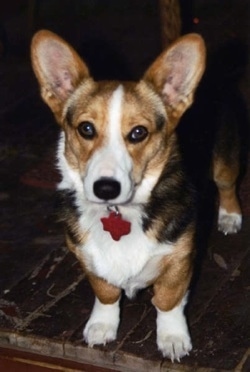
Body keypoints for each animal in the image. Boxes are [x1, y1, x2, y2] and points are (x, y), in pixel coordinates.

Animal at [30, 30, 242, 362]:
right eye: (86, 129)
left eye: (139, 132)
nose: (106, 188)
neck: (119, 212)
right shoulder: (87, 257)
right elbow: (105, 292)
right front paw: (102, 325)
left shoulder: (179, 260)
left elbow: (167, 300)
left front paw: (172, 338)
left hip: (224, 158)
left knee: (227, 184)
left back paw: (230, 216)